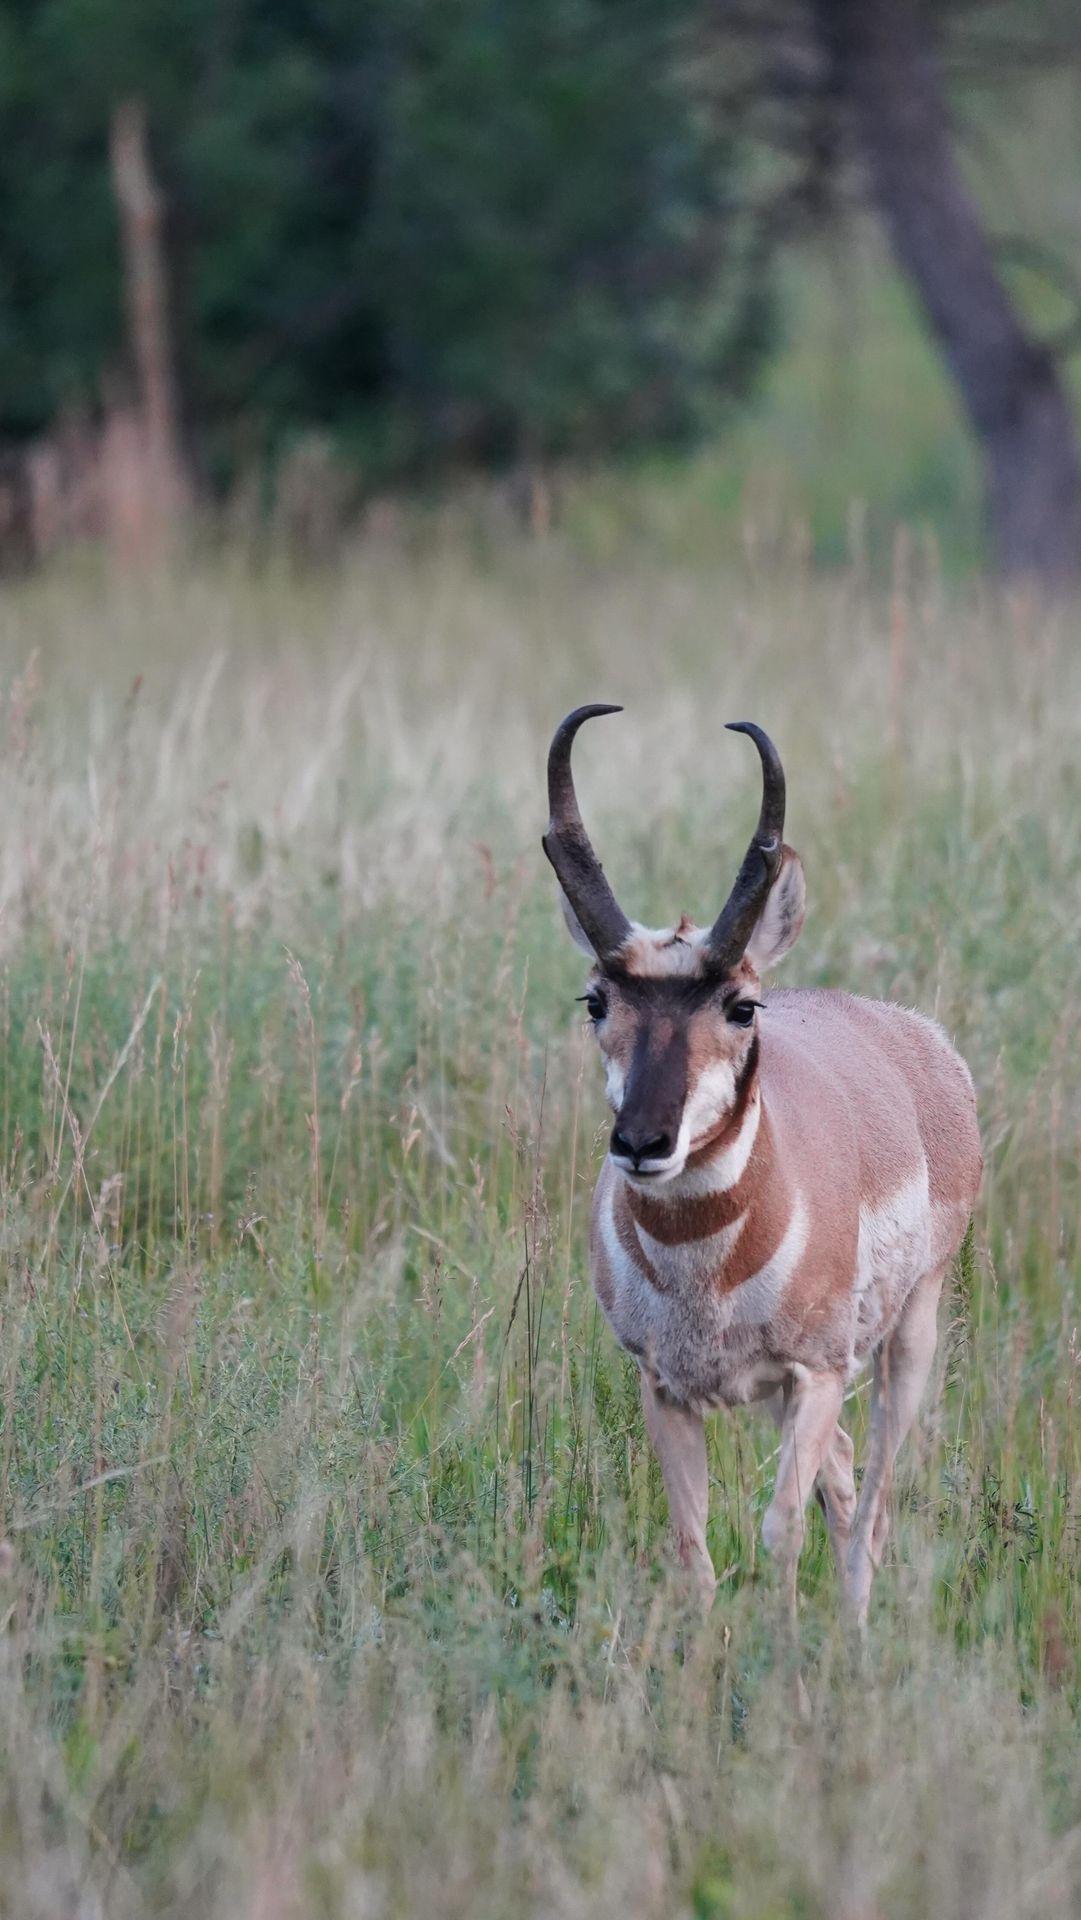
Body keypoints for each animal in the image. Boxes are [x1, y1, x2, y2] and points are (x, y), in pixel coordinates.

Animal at [541, 714, 983, 1628]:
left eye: (740, 1005)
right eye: (596, 1000)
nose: (641, 1142)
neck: (702, 1266)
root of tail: (916, 1038)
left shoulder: (815, 1374)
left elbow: (782, 1532)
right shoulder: (665, 1388)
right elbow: (693, 1548)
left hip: (906, 1340)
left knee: (872, 1502)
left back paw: (853, 1634)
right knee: (846, 1480)